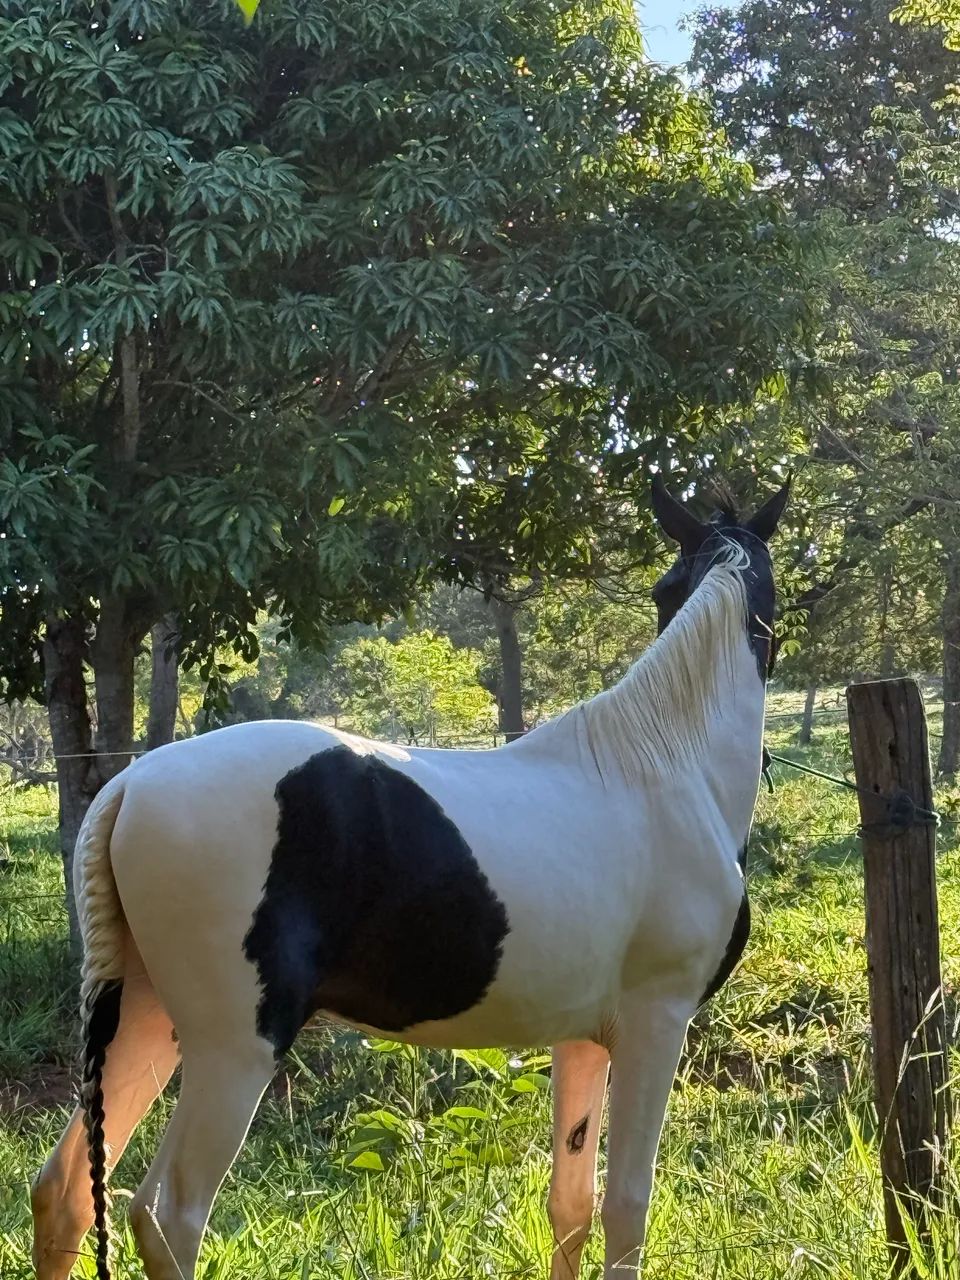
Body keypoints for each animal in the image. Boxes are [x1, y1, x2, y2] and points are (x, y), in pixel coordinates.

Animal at [31, 475, 788, 1280]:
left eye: (666, 588)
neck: (666, 766)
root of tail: (130, 785)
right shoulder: (656, 1021)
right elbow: (626, 1210)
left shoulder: (583, 1038)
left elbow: (571, 1207)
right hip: (233, 1052)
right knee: (168, 1215)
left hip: (144, 1021)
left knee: (66, 1193)